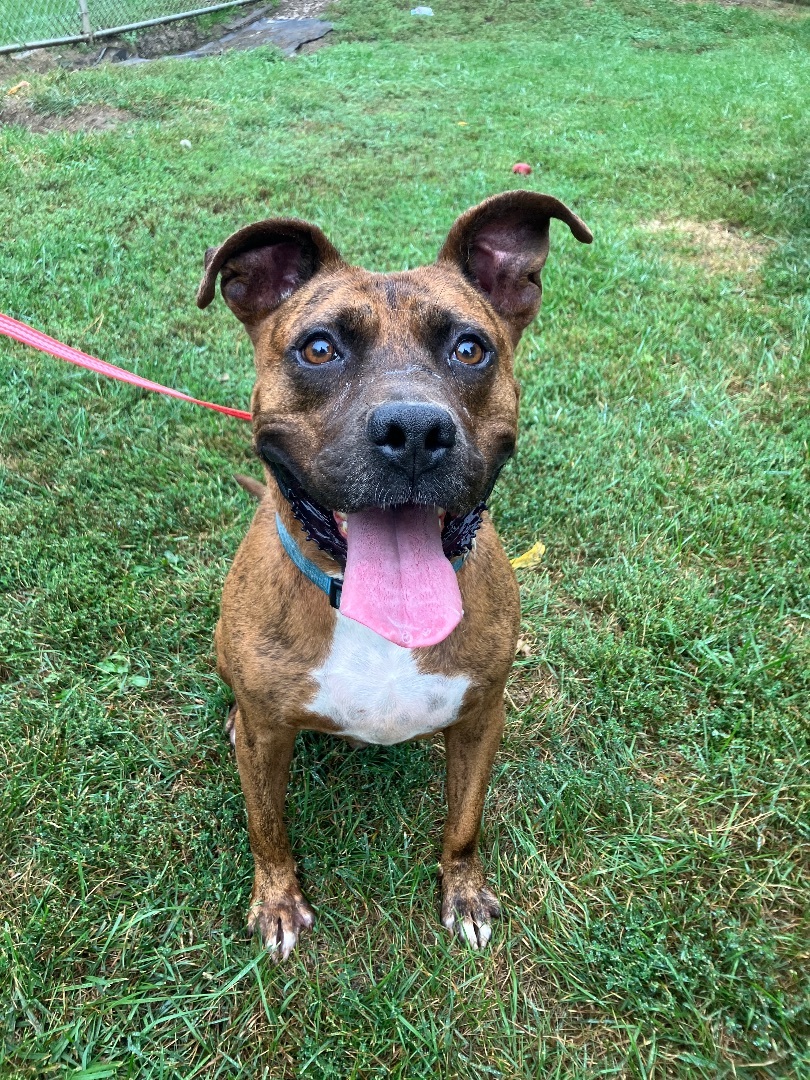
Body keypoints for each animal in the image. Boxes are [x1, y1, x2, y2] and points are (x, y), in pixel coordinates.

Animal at [196, 190, 591, 959]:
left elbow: (464, 822)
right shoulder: (267, 739)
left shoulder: (481, 720)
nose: (413, 431)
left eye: (470, 348)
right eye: (319, 348)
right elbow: (267, 827)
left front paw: (463, 892)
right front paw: (277, 901)